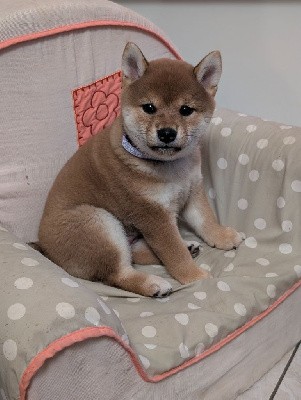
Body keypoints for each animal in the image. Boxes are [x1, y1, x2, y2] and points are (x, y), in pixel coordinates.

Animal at [38, 42, 244, 296]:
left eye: (186, 110)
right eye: (149, 108)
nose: (167, 133)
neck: (171, 167)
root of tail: (44, 247)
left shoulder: (193, 191)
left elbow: (205, 221)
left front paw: (222, 236)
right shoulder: (153, 215)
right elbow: (174, 254)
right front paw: (196, 277)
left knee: (136, 254)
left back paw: (188, 247)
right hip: (97, 221)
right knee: (119, 273)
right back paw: (154, 283)